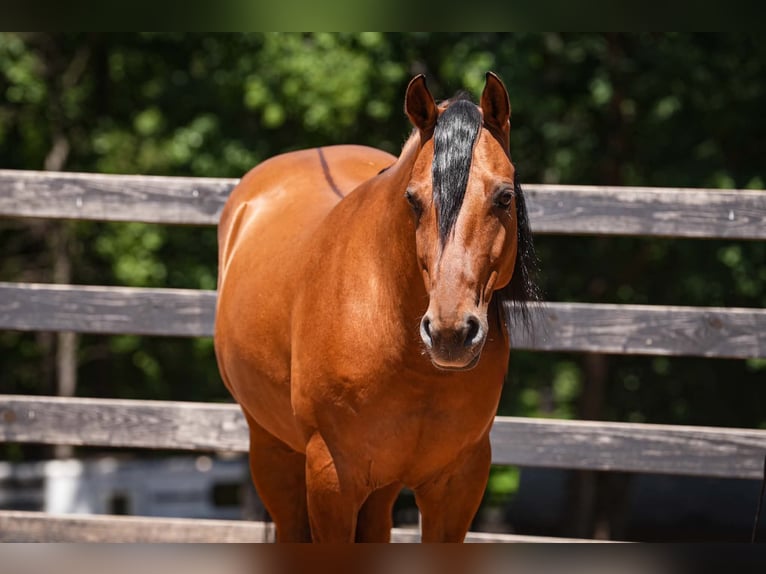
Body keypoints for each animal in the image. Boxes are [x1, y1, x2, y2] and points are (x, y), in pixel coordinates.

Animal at [214, 72, 539, 542]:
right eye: (413, 200)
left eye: (504, 197)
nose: (450, 333)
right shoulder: (331, 477)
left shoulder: (458, 483)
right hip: (272, 451)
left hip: (380, 489)